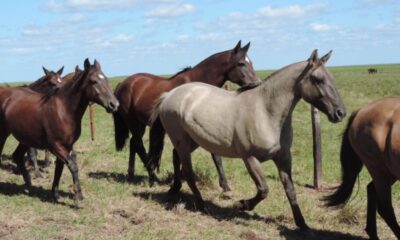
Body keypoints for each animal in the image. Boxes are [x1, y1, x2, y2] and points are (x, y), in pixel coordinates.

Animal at [0, 59, 119, 207]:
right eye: (93, 81)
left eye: (106, 79)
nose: (114, 104)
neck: (63, 110)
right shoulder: (56, 146)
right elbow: (73, 167)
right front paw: (78, 197)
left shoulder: (67, 146)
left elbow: (60, 169)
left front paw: (55, 194)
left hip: (26, 139)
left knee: (17, 156)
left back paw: (28, 184)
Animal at [114, 40, 260, 189]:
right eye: (241, 63)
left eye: (251, 62)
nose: (257, 83)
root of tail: (123, 83)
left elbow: (215, 156)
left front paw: (224, 185)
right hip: (132, 122)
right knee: (139, 145)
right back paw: (153, 177)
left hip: (140, 124)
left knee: (133, 143)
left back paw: (132, 173)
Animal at [152, 49, 346, 231]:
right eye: (318, 80)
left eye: (332, 78)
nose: (340, 113)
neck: (265, 111)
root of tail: (169, 95)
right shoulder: (250, 158)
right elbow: (263, 190)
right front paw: (242, 204)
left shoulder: (283, 158)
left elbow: (290, 191)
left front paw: (302, 224)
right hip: (183, 142)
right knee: (188, 171)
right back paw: (201, 205)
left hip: (193, 141)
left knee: (175, 157)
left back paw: (175, 189)